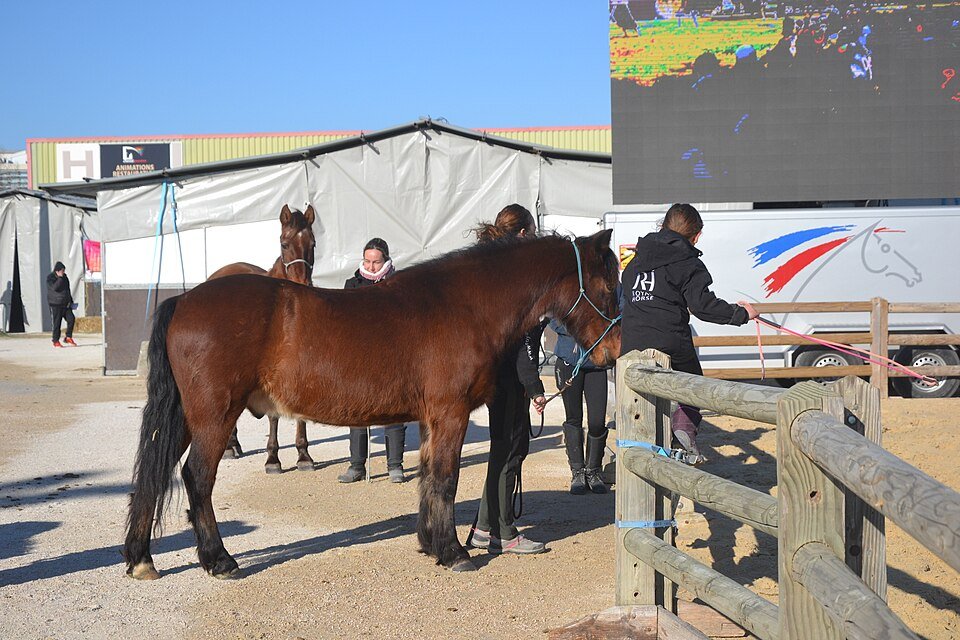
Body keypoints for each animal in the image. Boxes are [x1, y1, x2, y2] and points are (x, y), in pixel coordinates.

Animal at [208, 204, 317, 472]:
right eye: (284, 244)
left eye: (313, 244)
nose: (303, 284)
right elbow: (273, 414)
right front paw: (273, 459)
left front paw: (304, 455)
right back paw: (230, 446)